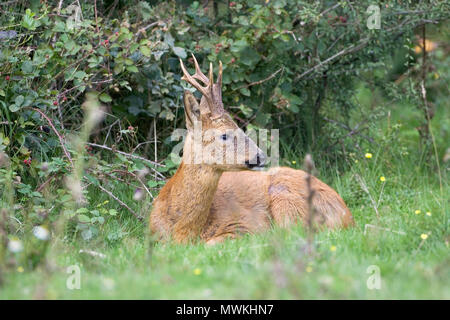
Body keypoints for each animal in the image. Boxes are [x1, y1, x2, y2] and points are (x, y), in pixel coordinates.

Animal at [149, 55, 354, 245]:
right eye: (224, 135)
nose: (260, 156)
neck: (183, 228)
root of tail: (348, 216)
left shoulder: (246, 225)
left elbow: (212, 243)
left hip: (287, 200)